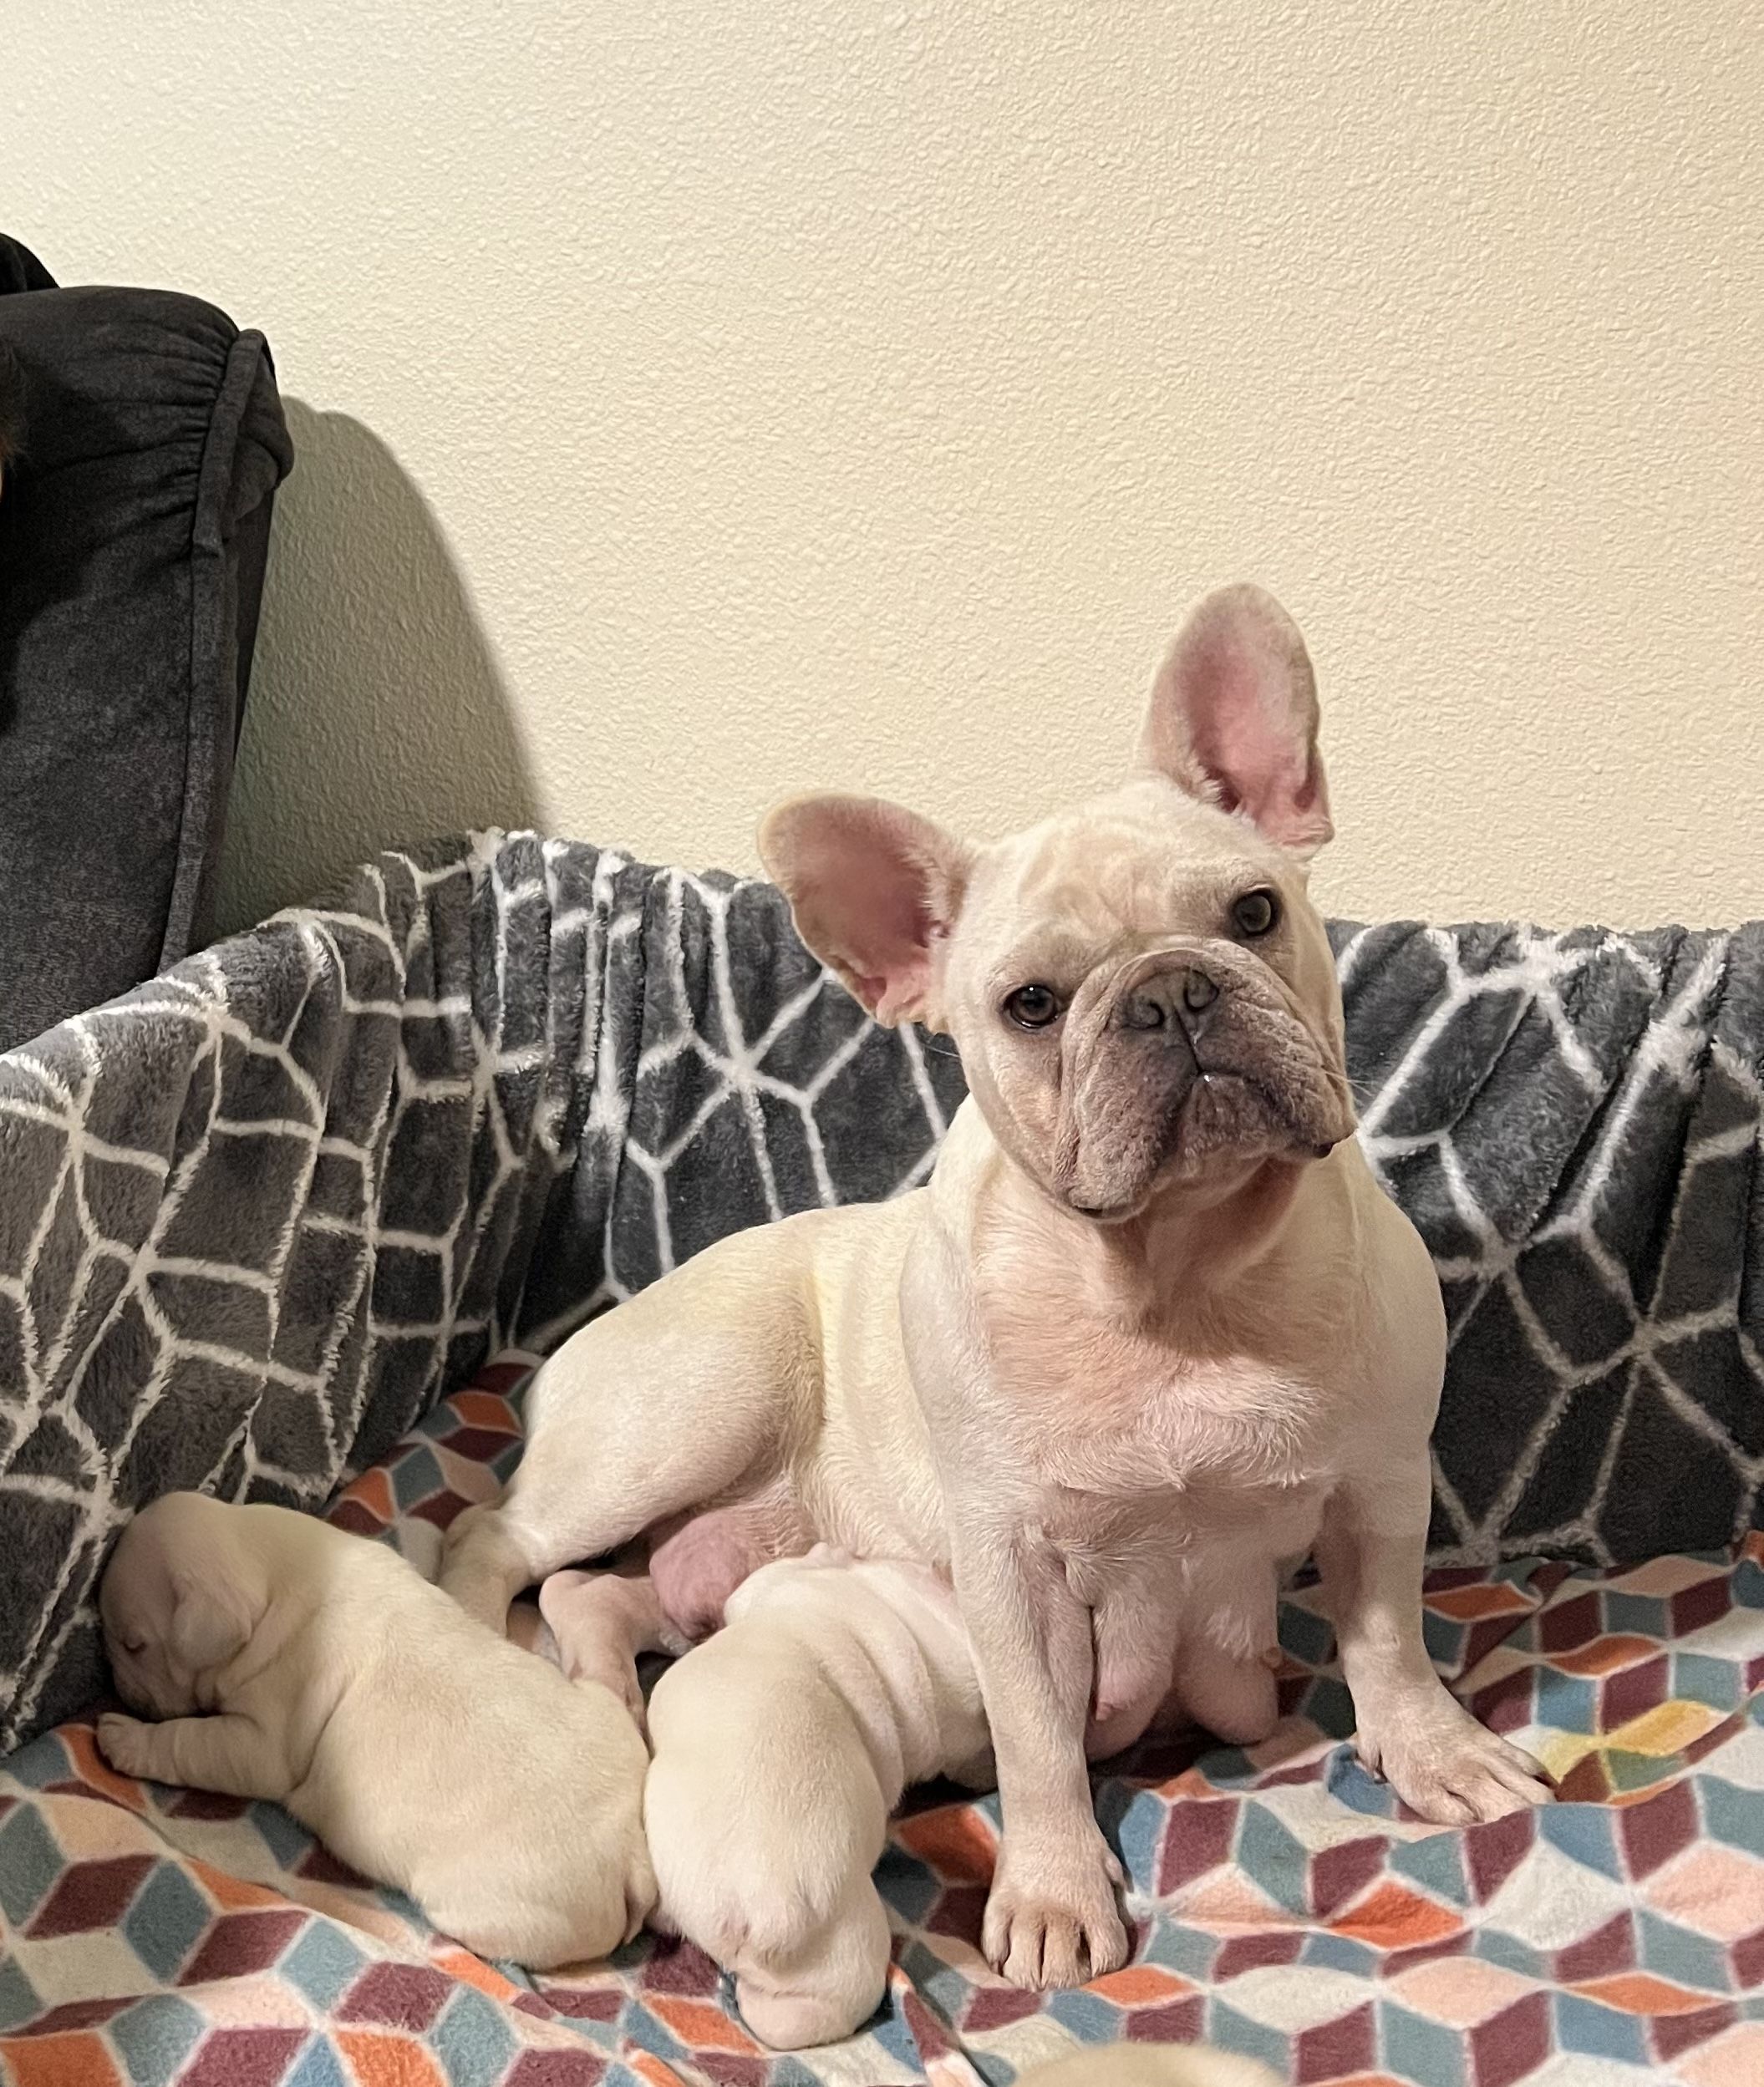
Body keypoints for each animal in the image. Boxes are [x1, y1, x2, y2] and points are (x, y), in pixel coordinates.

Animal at [97, 1493, 655, 1969]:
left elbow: (191, 1743)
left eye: (133, 1644)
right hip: (605, 1713)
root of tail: (631, 1854)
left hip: (496, 1908)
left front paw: (124, 1739)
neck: (268, 1573)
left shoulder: (260, 1741)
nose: (117, 1688)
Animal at [442, 582, 1551, 1989]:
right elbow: (1034, 1741)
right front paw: (1054, 1886)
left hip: (740, 1535)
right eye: (1029, 1003)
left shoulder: (1377, 1488)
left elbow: (1388, 1641)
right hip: (688, 1411)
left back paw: (609, 1694)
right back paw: (484, 1655)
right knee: (496, 1540)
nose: (1169, 991)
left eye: (1252, 911)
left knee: (593, 1590)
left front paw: (1430, 1748)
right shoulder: (1009, 1563)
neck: (1176, 1277)